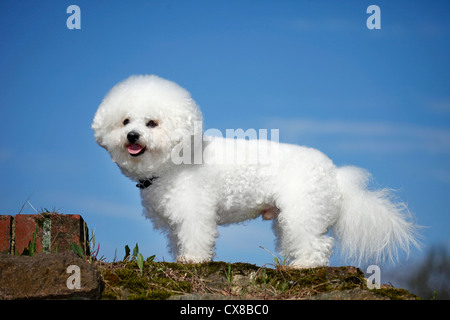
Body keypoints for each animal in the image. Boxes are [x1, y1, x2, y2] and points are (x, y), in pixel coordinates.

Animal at [93, 75, 420, 268]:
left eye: (152, 123)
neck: (176, 160)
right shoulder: (176, 221)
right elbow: (178, 240)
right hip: (290, 218)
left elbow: (197, 237)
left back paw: (304, 265)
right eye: (125, 121)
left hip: (303, 211)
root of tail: (335, 176)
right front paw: (182, 258)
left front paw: (193, 260)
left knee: (319, 244)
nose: (132, 136)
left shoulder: (195, 212)